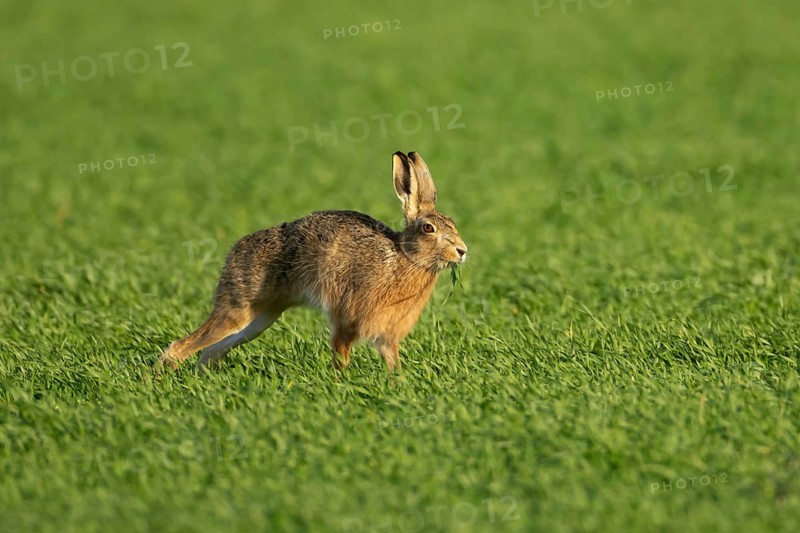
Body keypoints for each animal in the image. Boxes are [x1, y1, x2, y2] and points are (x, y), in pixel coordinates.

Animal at [158, 151, 468, 373]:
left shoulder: (386, 335)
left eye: (453, 224)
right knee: (180, 347)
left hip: (261, 318)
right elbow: (341, 355)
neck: (405, 257)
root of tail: (233, 253)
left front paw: (397, 386)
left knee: (210, 352)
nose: (462, 251)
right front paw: (341, 385)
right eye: (429, 228)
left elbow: (392, 362)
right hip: (238, 310)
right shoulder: (347, 319)